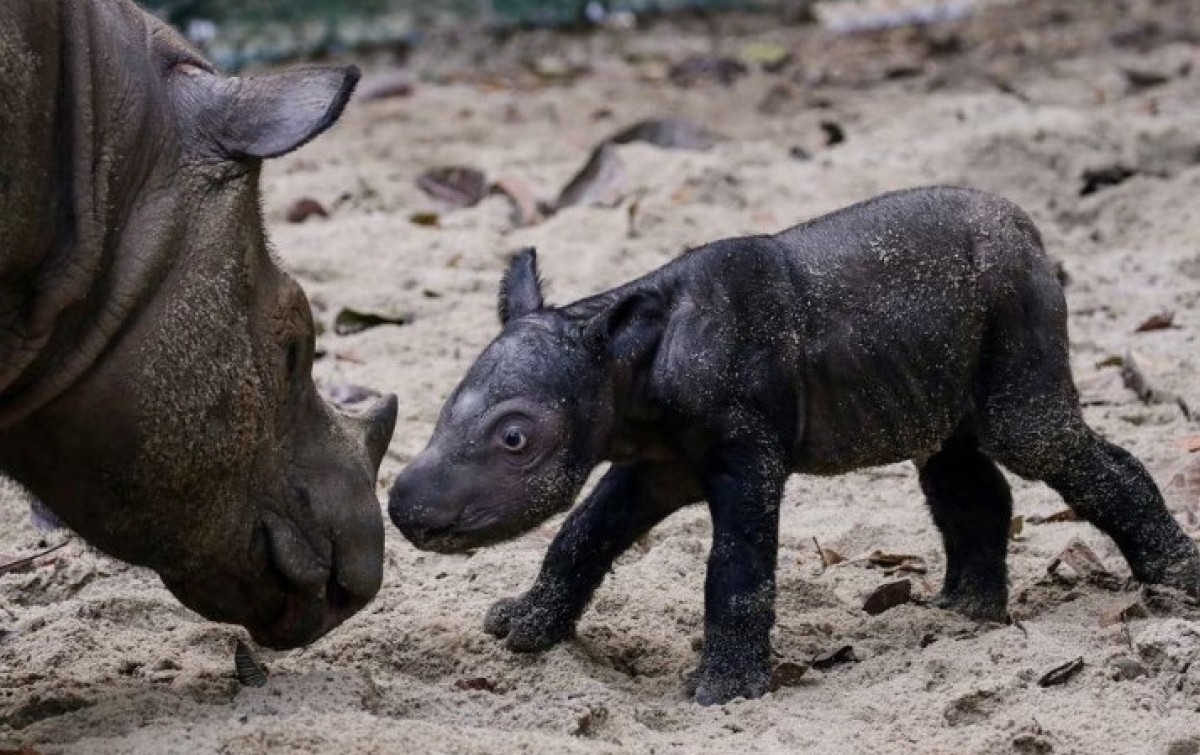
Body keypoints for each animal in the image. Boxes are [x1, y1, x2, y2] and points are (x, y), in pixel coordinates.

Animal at [386, 187, 1200, 700]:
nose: (405, 509)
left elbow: (737, 567)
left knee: (1033, 437)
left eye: (515, 438)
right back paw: (962, 615)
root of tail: (1031, 228)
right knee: (954, 462)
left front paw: (721, 693)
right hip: (941, 357)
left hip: (1017, 302)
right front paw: (523, 629)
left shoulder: (746, 454)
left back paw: (1175, 582)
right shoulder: (655, 459)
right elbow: (584, 534)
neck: (624, 362)